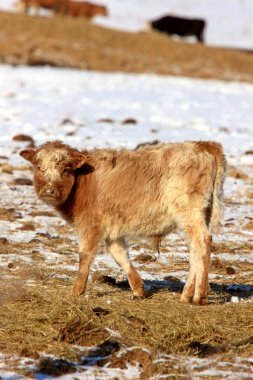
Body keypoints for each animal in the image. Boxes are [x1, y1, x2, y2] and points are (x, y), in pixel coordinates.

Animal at [19, 140, 225, 306]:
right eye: (39, 167)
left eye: (65, 169)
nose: (49, 190)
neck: (83, 183)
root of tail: (204, 144)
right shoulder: (112, 231)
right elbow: (120, 256)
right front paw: (139, 289)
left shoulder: (90, 226)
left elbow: (84, 257)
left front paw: (76, 291)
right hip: (198, 216)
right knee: (195, 249)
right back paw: (186, 295)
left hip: (189, 213)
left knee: (203, 241)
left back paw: (199, 296)